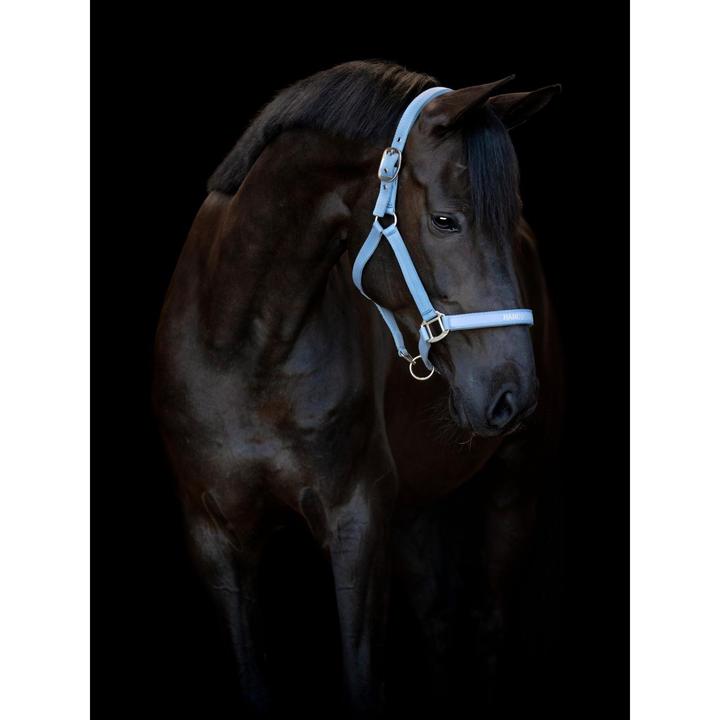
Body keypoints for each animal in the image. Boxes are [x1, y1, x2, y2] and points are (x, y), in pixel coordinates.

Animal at [153, 60, 563, 717]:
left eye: (511, 216)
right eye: (446, 219)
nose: (512, 394)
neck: (243, 350)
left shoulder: (358, 523)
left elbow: (363, 679)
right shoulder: (214, 539)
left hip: (514, 487)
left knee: (487, 623)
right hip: (415, 507)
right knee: (439, 619)